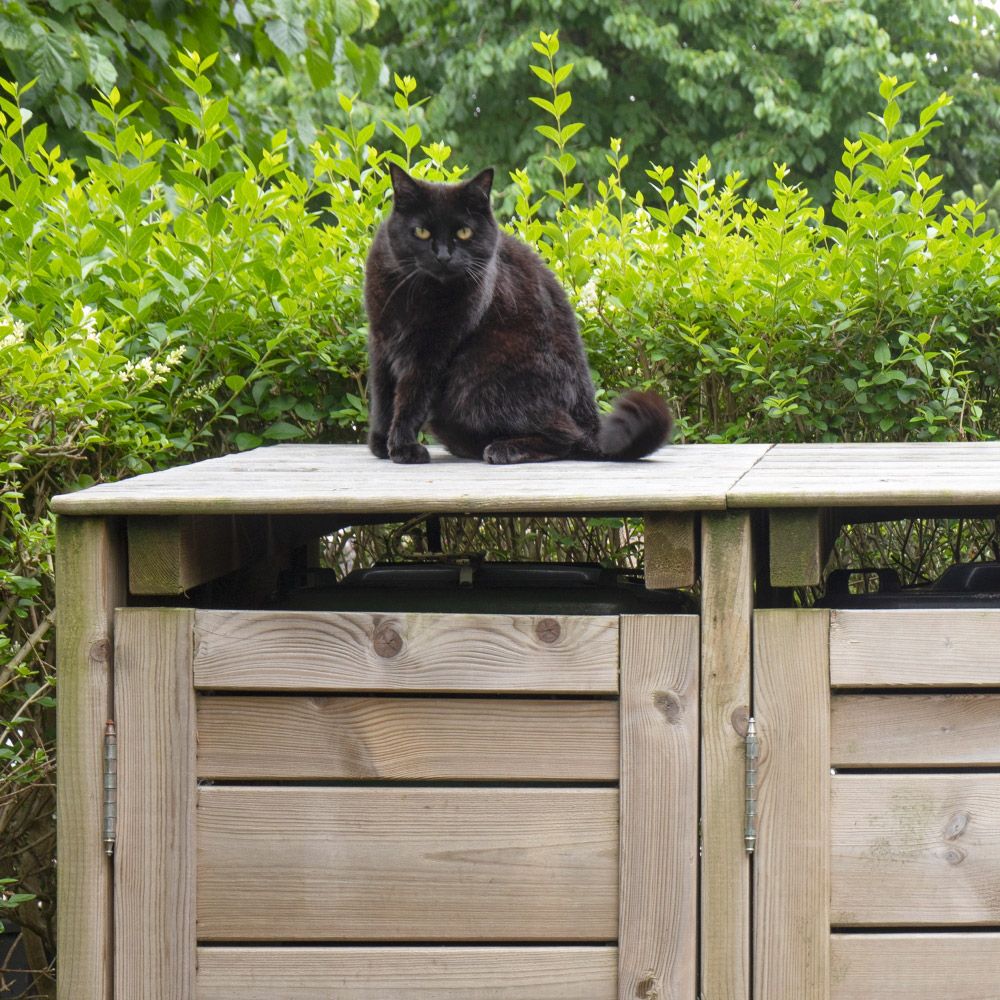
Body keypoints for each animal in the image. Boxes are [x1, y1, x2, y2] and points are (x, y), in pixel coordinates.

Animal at [362, 162, 672, 462]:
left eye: (464, 232)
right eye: (422, 232)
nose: (443, 256)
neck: (416, 292)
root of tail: (591, 421)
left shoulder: (432, 351)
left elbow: (411, 399)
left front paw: (403, 447)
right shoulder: (381, 342)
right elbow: (382, 395)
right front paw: (380, 442)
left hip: (480, 380)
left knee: (567, 437)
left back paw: (505, 449)